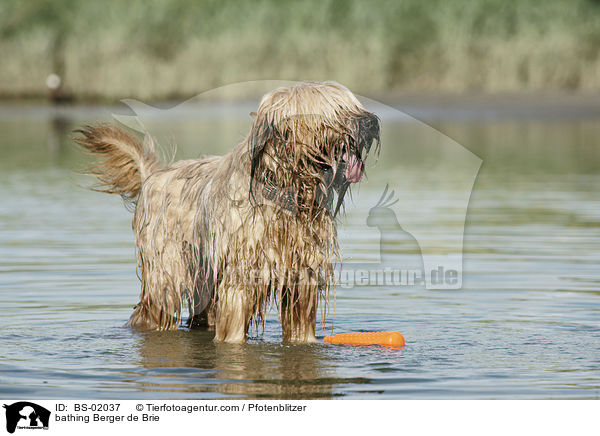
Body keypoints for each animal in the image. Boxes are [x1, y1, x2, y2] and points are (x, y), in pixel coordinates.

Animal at [75, 81, 380, 340]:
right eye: (333, 110)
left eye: (351, 105)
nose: (370, 122)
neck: (285, 189)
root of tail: (154, 175)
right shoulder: (240, 278)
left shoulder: (301, 279)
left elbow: (300, 329)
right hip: (165, 274)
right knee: (151, 310)